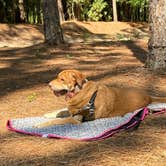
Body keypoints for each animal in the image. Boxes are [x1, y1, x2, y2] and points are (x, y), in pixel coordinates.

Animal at [36, 69, 165, 127]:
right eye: (58, 77)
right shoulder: (72, 111)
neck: (78, 91)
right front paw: (49, 114)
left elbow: (57, 121)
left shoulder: (76, 120)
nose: (49, 85)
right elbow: (61, 111)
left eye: (62, 79)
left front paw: (40, 125)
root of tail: (149, 97)